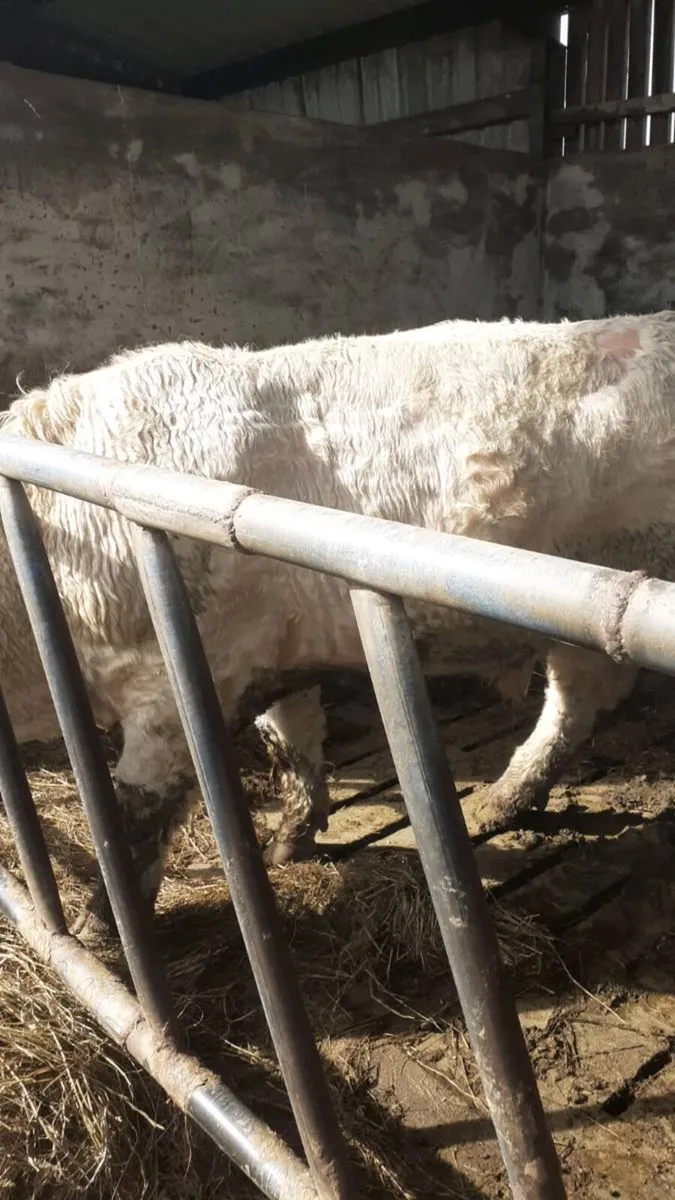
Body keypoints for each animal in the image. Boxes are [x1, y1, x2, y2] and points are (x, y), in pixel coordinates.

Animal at [1, 311, 673, 939]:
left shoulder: (179, 680)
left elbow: (138, 813)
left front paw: (103, 928)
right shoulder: (272, 653)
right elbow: (290, 741)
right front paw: (288, 845)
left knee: (575, 703)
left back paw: (497, 803)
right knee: (580, 702)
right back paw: (502, 804)